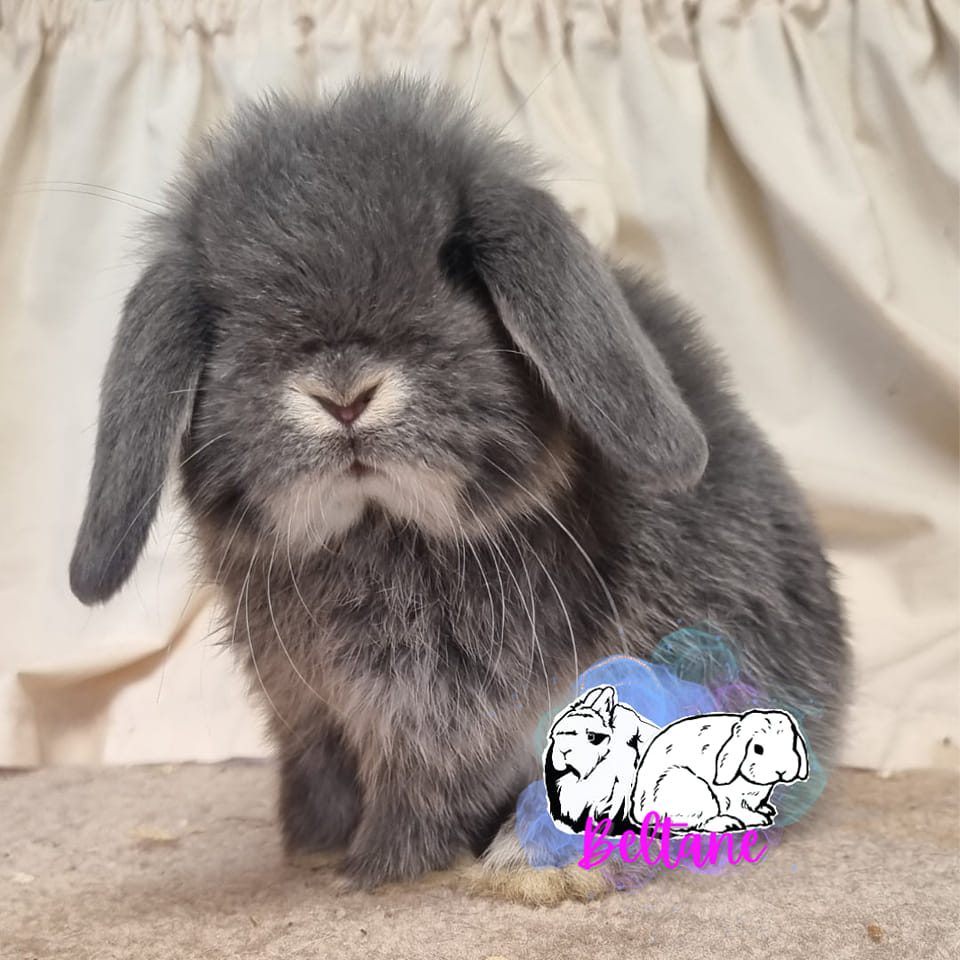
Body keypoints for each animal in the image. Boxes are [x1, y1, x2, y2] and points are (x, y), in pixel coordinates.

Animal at [631, 710, 809, 834]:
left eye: (792, 745)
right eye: (758, 749)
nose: (781, 770)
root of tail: (640, 812)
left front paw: (766, 809)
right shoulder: (730, 797)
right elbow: (737, 808)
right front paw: (758, 818)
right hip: (696, 791)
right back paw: (727, 823)